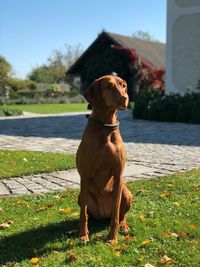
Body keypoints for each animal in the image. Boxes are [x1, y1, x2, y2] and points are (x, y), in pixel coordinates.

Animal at [76, 75, 132, 243]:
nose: (125, 98)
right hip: (81, 196)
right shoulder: (85, 176)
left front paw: (112, 237)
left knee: (120, 215)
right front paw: (83, 235)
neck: (106, 127)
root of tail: (103, 215)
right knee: (87, 213)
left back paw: (123, 226)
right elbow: (83, 215)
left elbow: (116, 215)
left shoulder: (118, 175)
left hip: (126, 192)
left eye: (123, 85)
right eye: (109, 86)